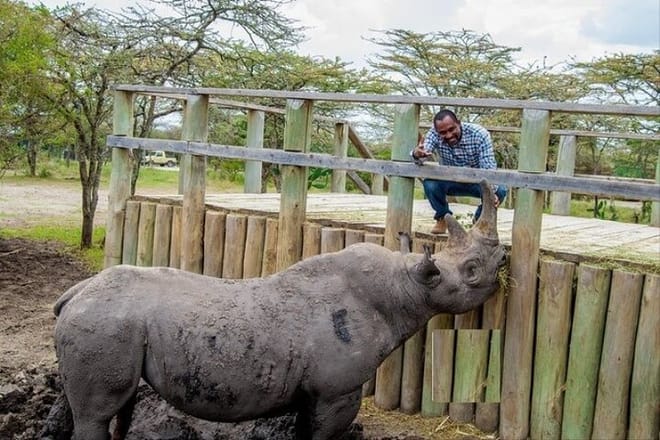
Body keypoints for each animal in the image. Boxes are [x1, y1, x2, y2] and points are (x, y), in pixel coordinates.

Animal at [53, 180, 506, 440]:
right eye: (472, 271)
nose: (504, 260)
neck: (405, 285)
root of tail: (75, 294)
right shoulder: (337, 391)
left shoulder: (314, 392)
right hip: (103, 323)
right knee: (97, 414)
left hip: (112, 323)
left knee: (120, 408)